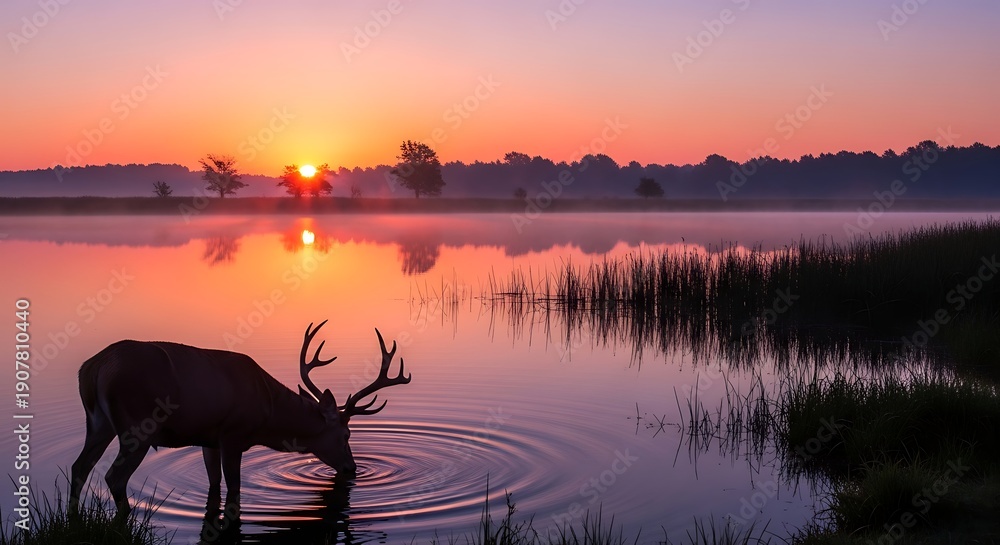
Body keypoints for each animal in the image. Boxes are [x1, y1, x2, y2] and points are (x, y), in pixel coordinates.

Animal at [68, 321, 410, 517]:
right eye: (346, 435)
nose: (352, 468)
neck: (267, 414)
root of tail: (93, 369)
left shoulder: (209, 438)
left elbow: (214, 486)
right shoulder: (233, 433)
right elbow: (234, 489)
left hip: (97, 423)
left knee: (79, 467)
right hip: (137, 427)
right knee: (114, 477)